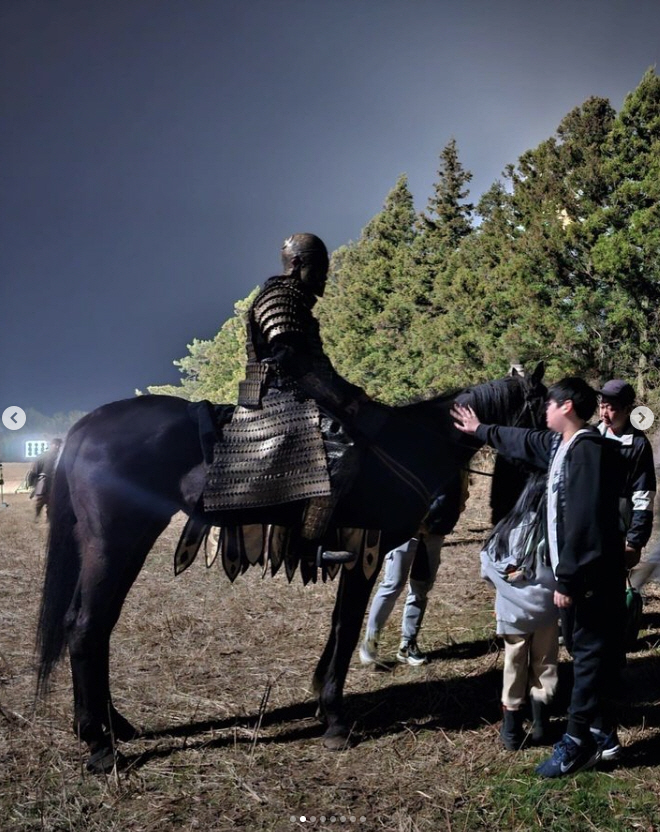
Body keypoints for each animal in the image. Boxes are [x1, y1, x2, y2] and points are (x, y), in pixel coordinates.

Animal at [34, 368, 548, 772]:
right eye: (545, 408)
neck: (411, 443)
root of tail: (84, 427)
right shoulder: (366, 554)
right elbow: (347, 627)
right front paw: (335, 717)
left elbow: (339, 626)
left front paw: (323, 700)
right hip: (115, 543)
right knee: (86, 627)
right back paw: (99, 743)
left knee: (93, 626)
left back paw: (112, 725)